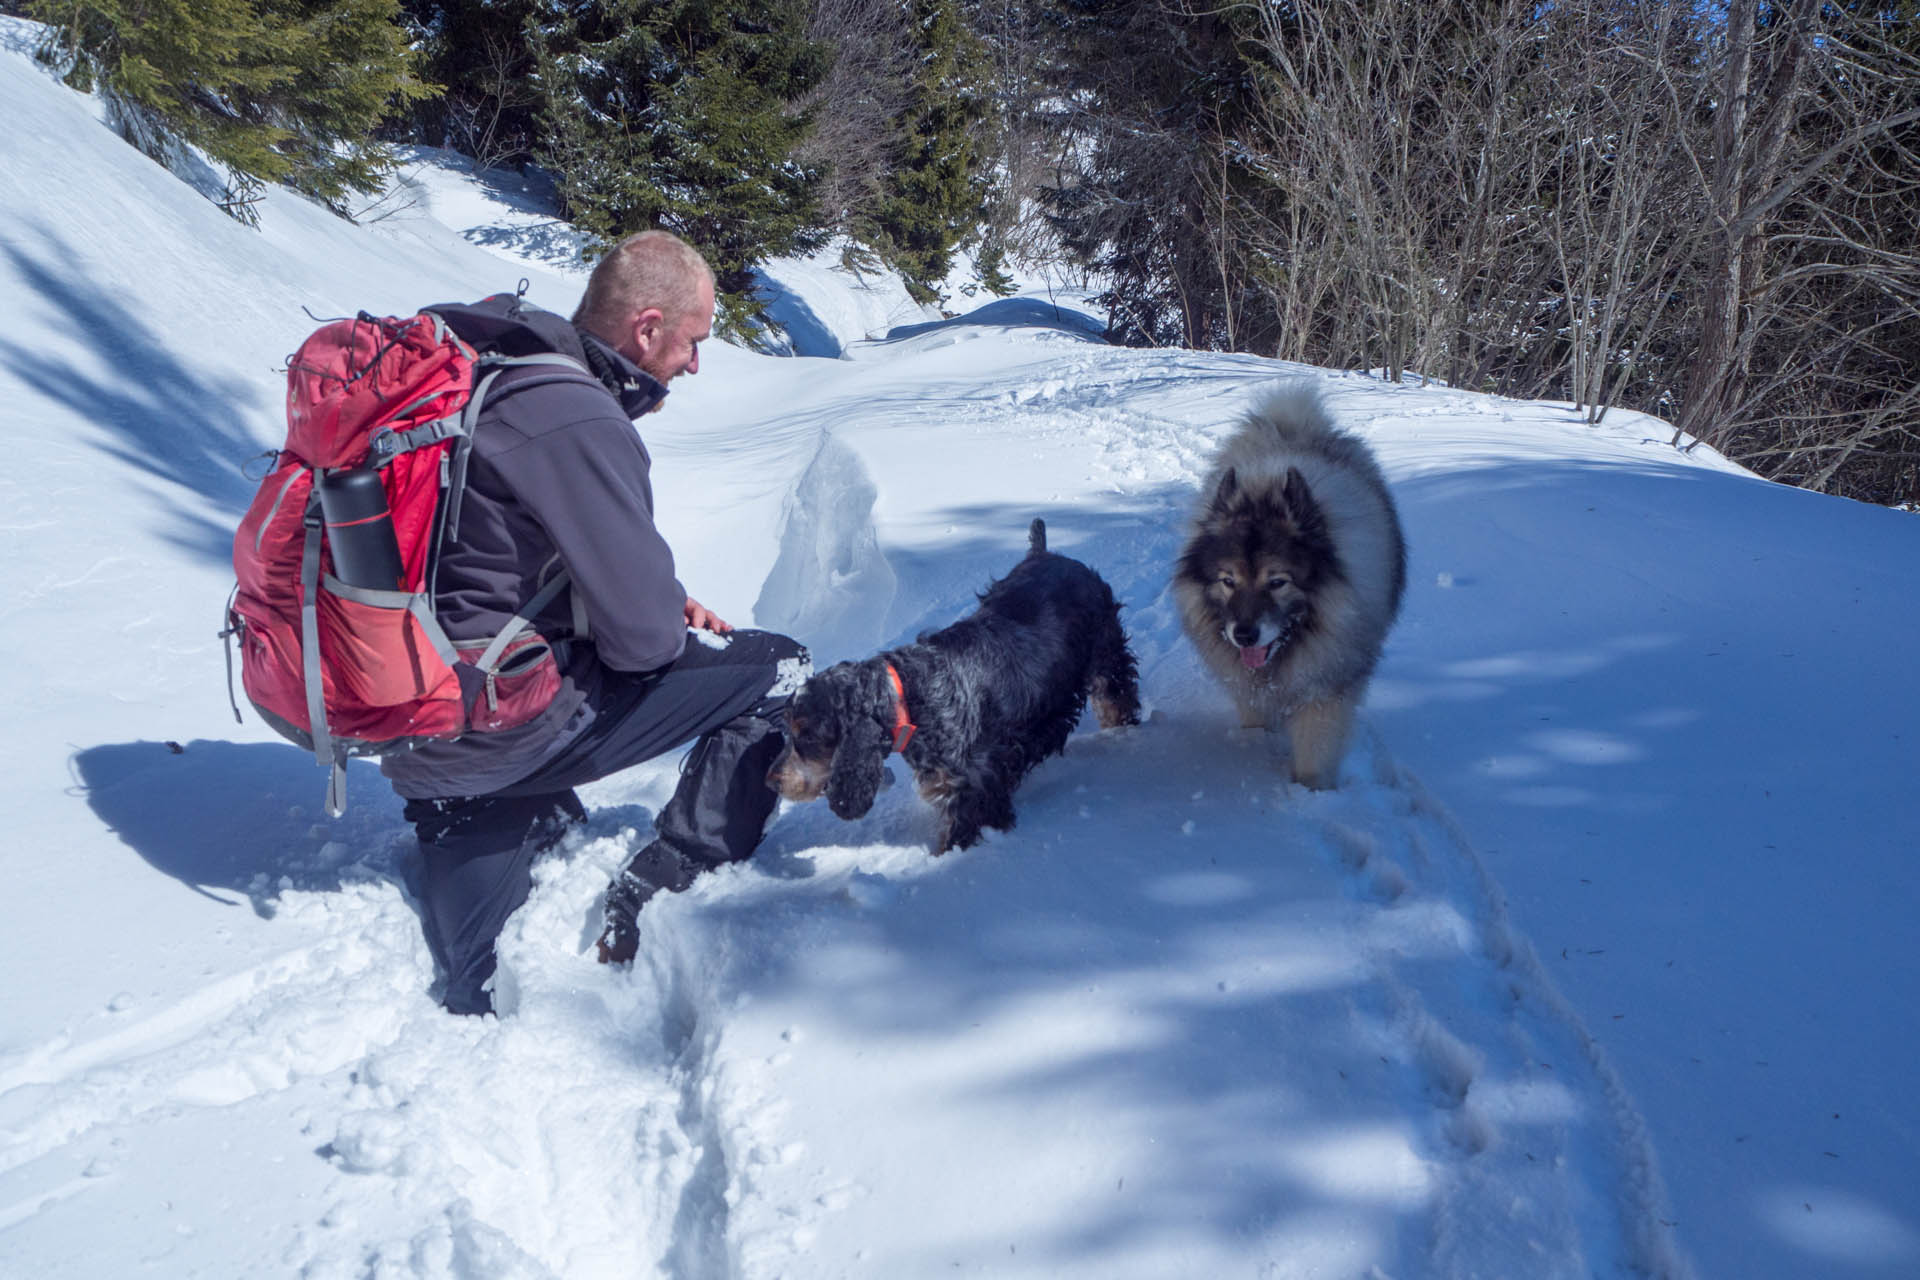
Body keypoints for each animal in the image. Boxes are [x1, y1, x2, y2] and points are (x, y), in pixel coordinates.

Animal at [1167, 379, 1413, 786]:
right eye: (1228, 580)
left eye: (1278, 581)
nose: (1244, 635)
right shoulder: (1250, 689)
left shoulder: (1324, 690)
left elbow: (1313, 757)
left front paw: (1312, 793)